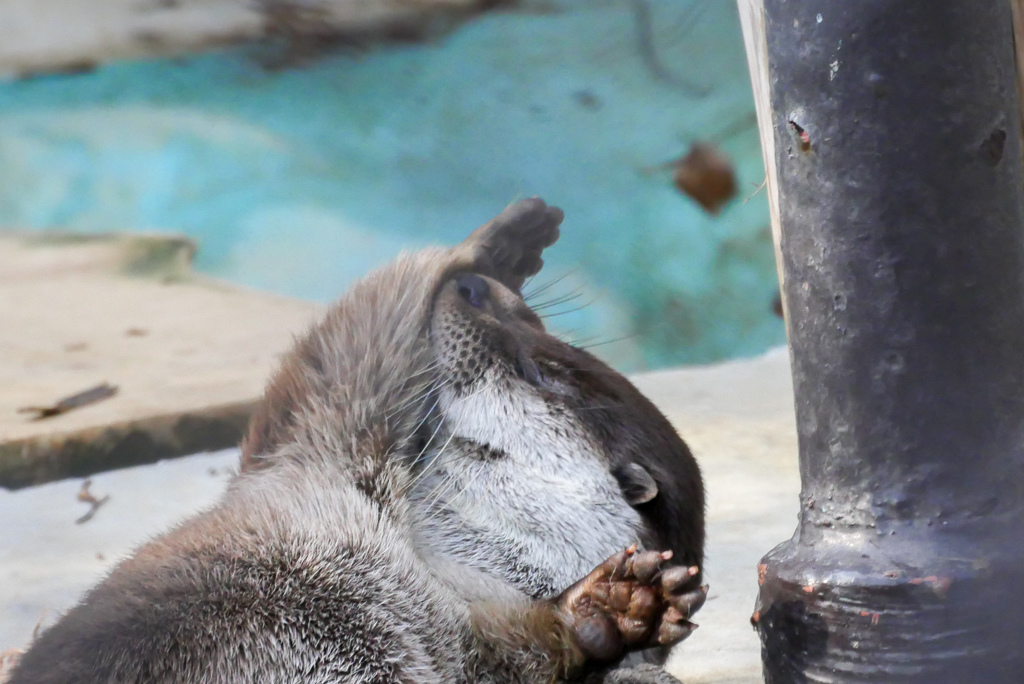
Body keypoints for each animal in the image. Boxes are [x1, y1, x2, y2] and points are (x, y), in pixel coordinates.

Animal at [6, 198, 704, 684]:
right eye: (527, 316)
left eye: (540, 369)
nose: (473, 286)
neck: (428, 563)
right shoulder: (325, 469)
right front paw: (503, 240)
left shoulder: (331, 447)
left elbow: (347, 349)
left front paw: (615, 608)